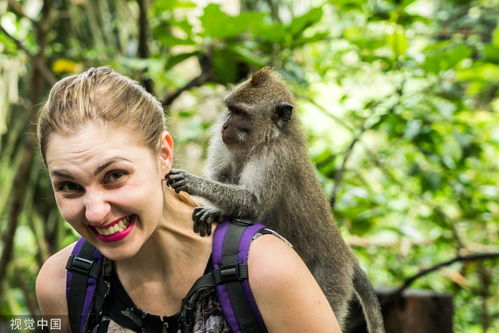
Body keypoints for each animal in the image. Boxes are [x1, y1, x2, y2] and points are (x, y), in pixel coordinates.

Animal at [166, 67, 384, 332]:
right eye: (230, 110)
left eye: (241, 113)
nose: (225, 126)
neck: (267, 139)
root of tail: (345, 253)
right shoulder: (222, 143)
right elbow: (225, 178)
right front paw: (216, 211)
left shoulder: (275, 156)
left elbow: (252, 201)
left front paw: (192, 182)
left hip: (330, 278)